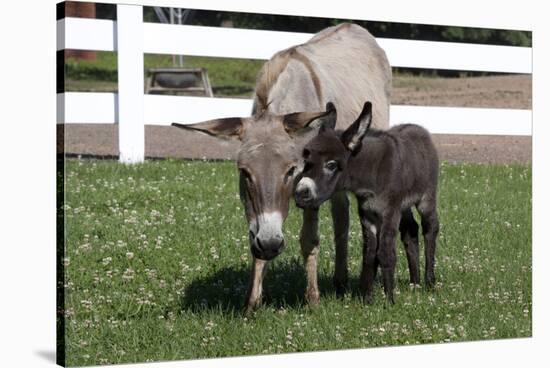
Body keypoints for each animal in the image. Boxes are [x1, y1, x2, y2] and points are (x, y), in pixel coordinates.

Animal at [296, 102, 442, 304]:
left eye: (331, 165)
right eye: (306, 162)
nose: (300, 194)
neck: (371, 174)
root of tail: (418, 128)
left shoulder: (390, 212)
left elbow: (385, 253)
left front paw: (389, 301)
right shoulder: (368, 214)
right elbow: (370, 255)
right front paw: (367, 298)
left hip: (426, 198)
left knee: (430, 228)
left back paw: (429, 282)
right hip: (404, 206)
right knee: (410, 230)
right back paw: (415, 283)